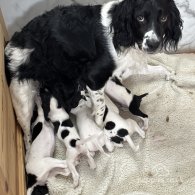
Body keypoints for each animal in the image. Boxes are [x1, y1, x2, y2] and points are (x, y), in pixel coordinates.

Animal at [4, 0, 182, 155]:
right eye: (140, 18)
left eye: (164, 18)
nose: (153, 44)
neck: (121, 31)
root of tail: (11, 43)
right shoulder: (94, 78)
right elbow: (101, 107)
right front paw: (100, 125)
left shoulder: (126, 68)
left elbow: (158, 68)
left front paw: (171, 75)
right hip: (22, 101)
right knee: (27, 135)